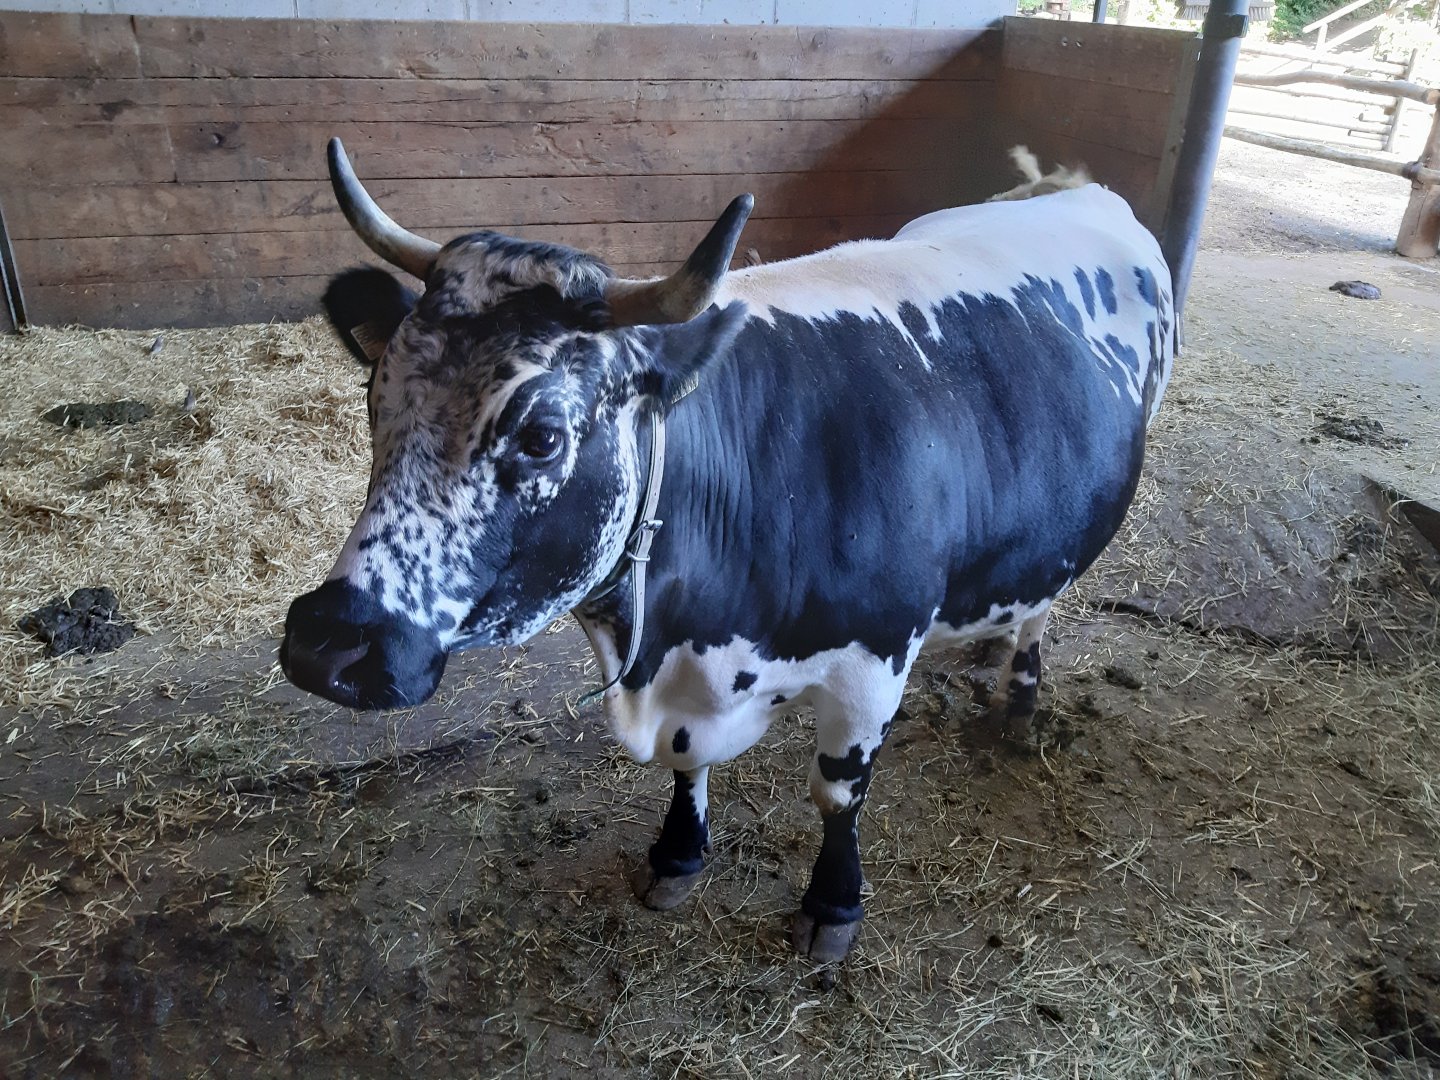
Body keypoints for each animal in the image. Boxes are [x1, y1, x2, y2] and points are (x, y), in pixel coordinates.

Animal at [282, 138, 1174, 964]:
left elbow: (837, 795)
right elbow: (685, 767)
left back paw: (1020, 693)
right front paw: (678, 855)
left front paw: (833, 904)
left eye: (542, 436)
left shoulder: (875, 659)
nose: (328, 642)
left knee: (1050, 598)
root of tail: (1067, 186)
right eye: (375, 396)